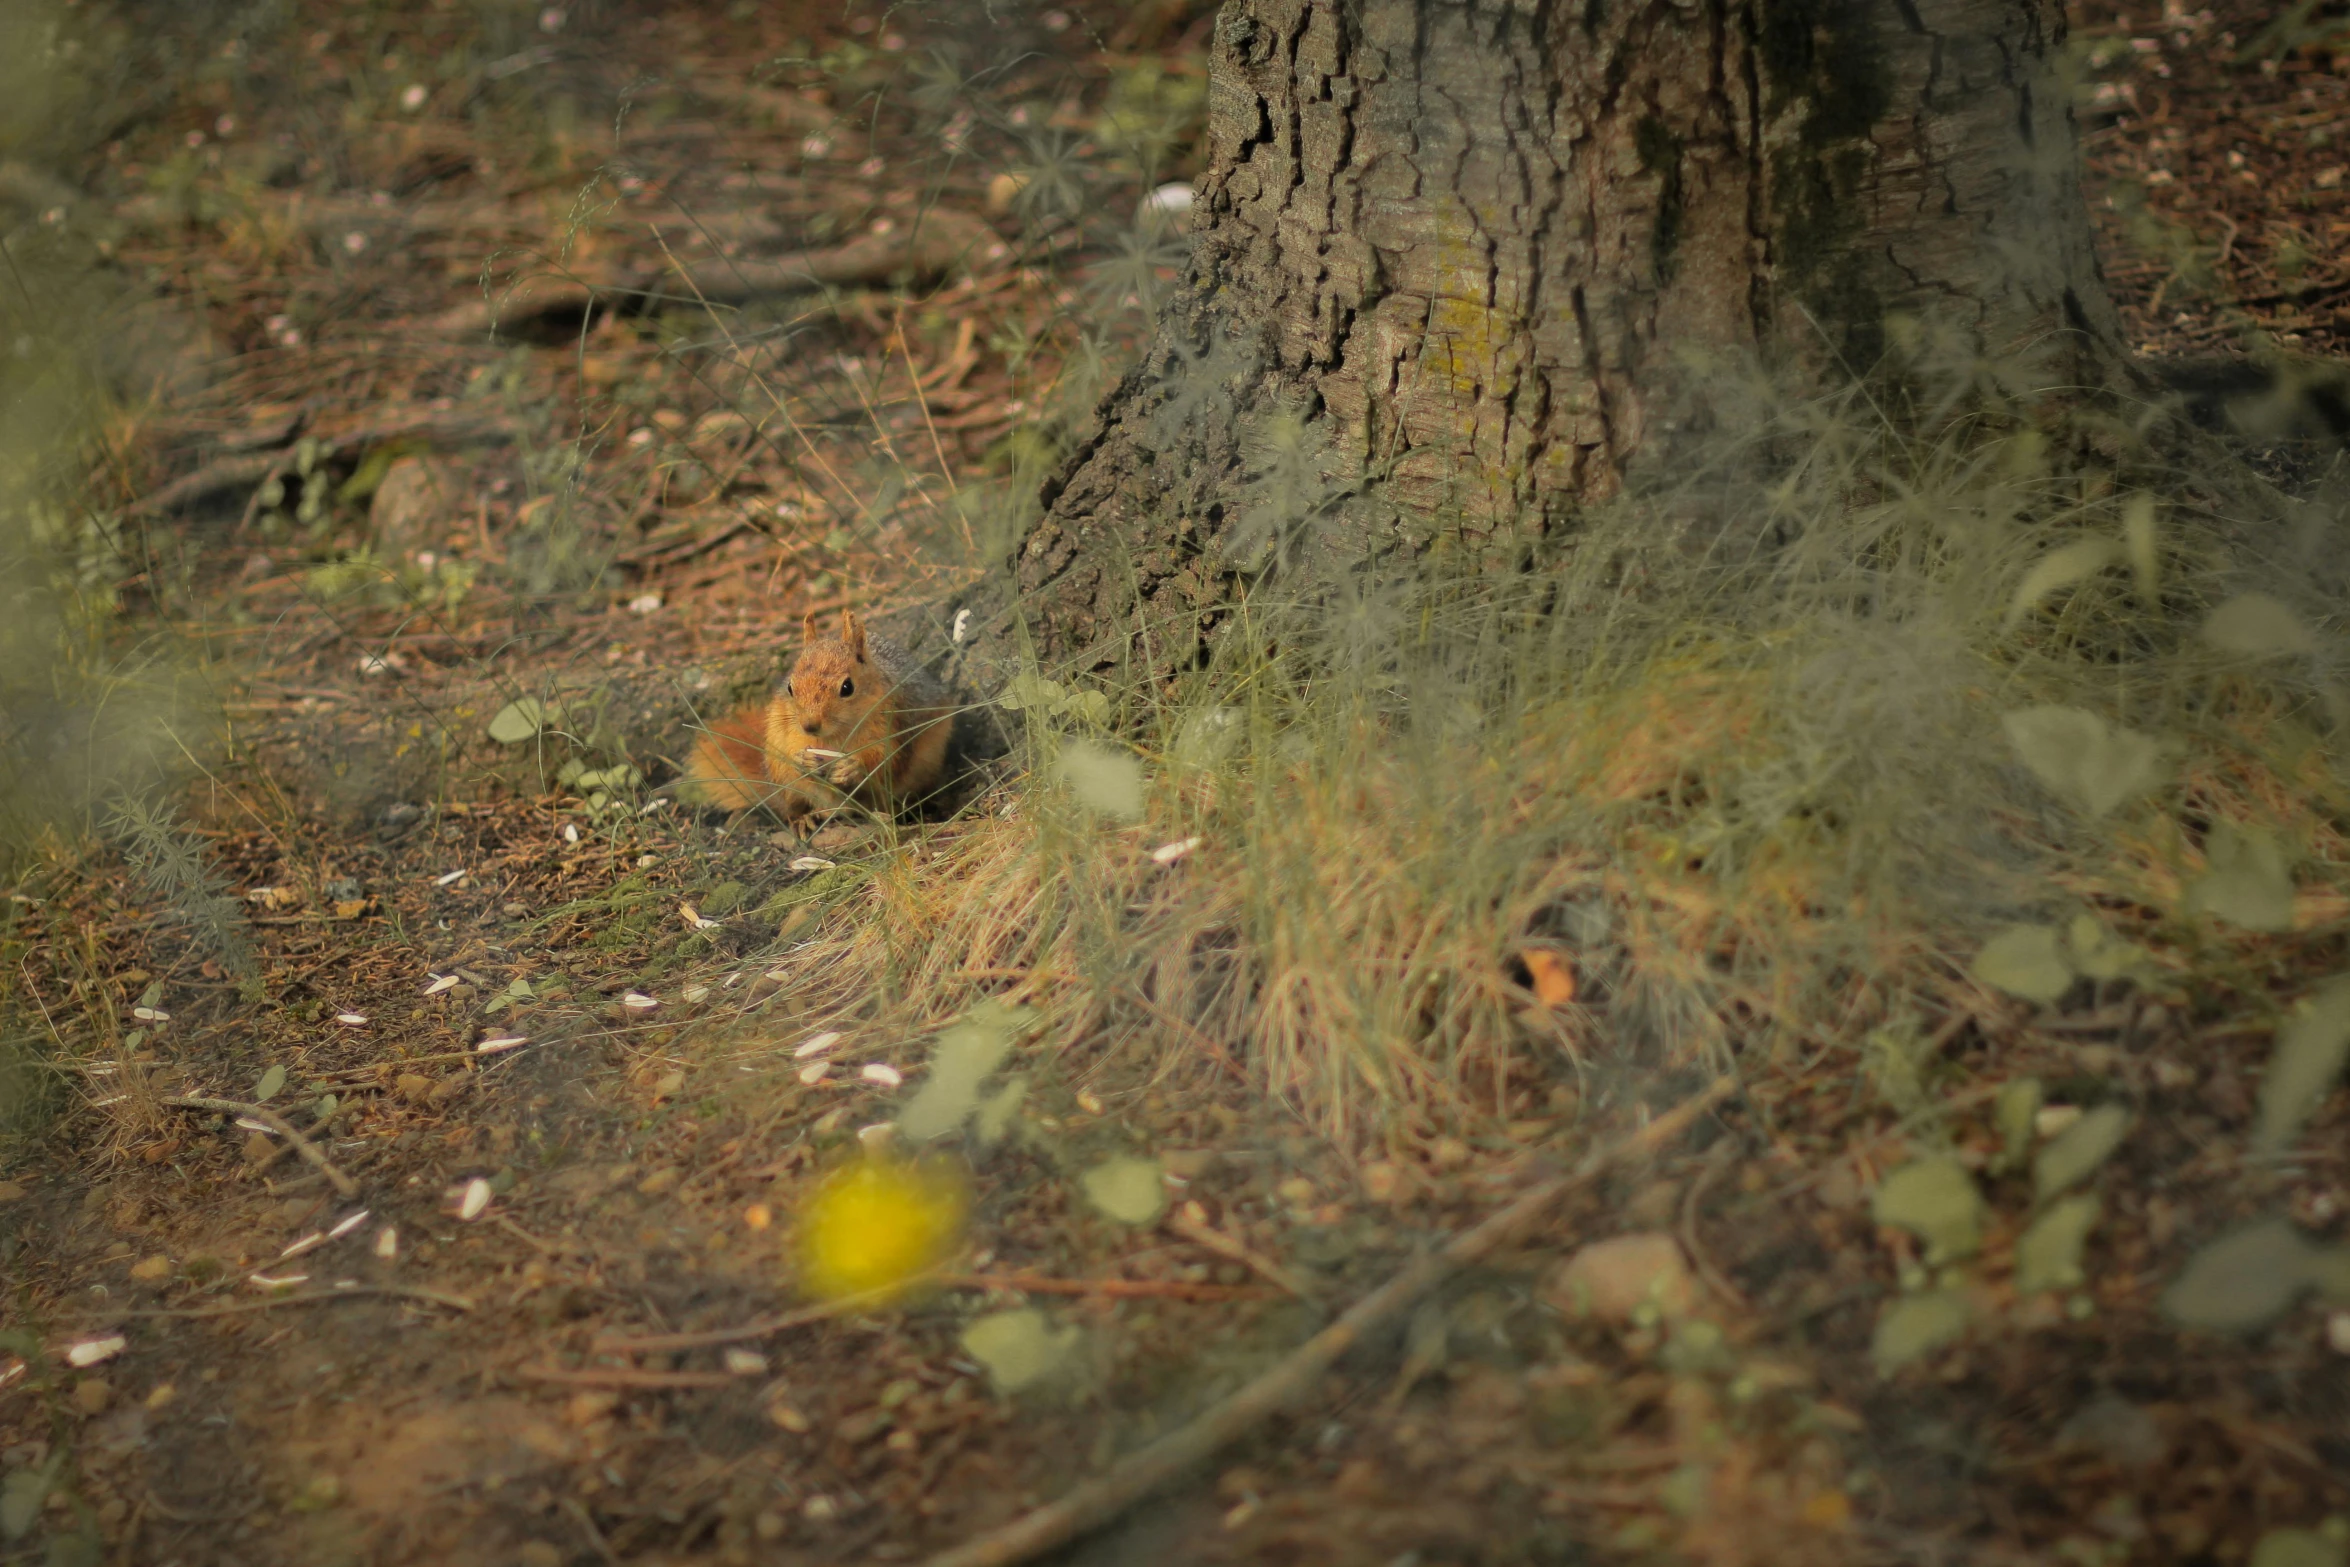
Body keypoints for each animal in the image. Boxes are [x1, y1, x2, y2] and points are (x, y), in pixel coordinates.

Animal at [686, 610, 958, 826]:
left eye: (847, 687)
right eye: (790, 687)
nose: (810, 726)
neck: (833, 736)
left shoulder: (895, 723)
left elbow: (886, 760)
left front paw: (853, 767)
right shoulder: (787, 730)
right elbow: (793, 751)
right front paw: (803, 762)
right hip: (780, 776)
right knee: (794, 807)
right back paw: (805, 819)